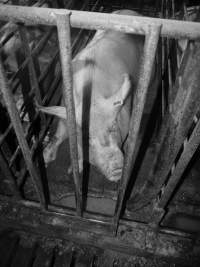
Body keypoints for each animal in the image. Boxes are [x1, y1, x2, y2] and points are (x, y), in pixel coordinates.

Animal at [38, 9, 159, 182]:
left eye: (113, 127)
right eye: (86, 137)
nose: (117, 169)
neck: (92, 97)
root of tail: (133, 12)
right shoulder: (66, 106)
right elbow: (60, 133)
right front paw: (51, 161)